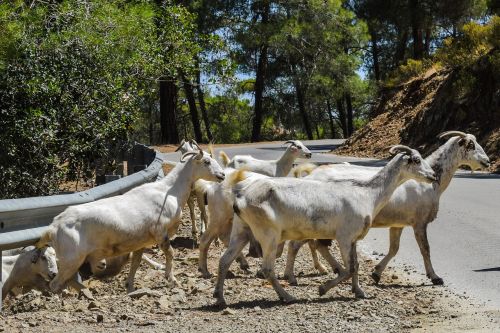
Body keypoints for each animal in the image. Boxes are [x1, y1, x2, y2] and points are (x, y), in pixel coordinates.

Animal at [35, 147, 223, 294]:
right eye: (206, 161)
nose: (221, 175)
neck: (168, 191)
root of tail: (53, 227)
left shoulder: (141, 241)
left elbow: (135, 263)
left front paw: (130, 286)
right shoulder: (160, 232)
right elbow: (170, 253)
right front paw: (172, 279)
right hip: (70, 259)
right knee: (54, 284)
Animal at [213, 145, 436, 306]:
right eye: (416, 160)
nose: (433, 175)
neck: (368, 194)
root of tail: (241, 197)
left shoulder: (353, 239)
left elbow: (355, 266)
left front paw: (359, 291)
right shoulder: (344, 236)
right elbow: (348, 268)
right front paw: (323, 289)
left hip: (241, 230)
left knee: (224, 260)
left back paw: (219, 297)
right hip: (268, 234)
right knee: (267, 269)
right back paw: (287, 297)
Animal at [284, 131, 490, 284]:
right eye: (471, 145)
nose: (487, 161)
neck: (431, 183)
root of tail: (309, 175)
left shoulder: (398, 224)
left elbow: (394, 249)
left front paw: (376, 273)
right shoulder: (419, 222)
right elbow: (425, 249)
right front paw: (435, 277)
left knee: (315, 244)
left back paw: (330, 269)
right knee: (302, 244)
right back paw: (295, 275)